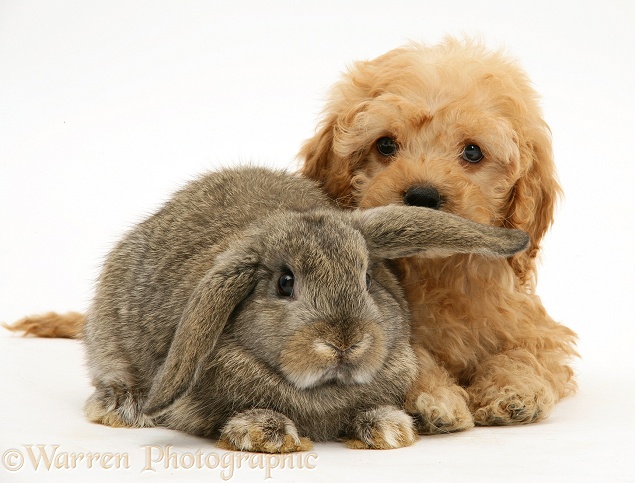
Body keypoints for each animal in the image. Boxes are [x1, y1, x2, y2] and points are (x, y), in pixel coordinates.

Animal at [84, 166, 532, 454]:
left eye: (368, 277)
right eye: (285, 283)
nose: (344, 342)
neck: (324, 393)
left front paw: (388, 428)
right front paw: (266, 434)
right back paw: (120, 405)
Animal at [300, 36, 580, 432]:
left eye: (473, 152)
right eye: (385, 145)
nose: (422, 196)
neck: (439, 270)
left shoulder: (536, 328)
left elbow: (524, 352)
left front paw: (514, 391)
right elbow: (409, 357)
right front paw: (434, 399)